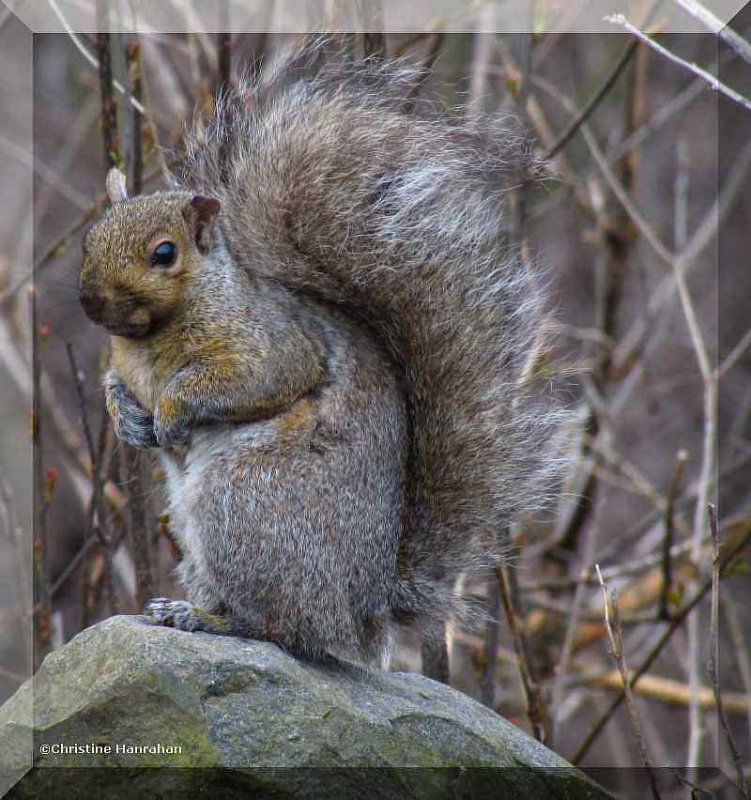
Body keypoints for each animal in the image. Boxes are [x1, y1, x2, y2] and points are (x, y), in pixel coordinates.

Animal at [81, 39, 564, 664]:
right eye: (92, 237)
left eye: (164, 253)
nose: (91, 301)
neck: (149, 338)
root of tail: (363, 612)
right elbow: (116, 387)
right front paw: (127, 419)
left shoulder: (272, 344)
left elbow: (246, 380)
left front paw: (169, 411)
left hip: (245, 506)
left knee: (283, 629)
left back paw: (212, 621)